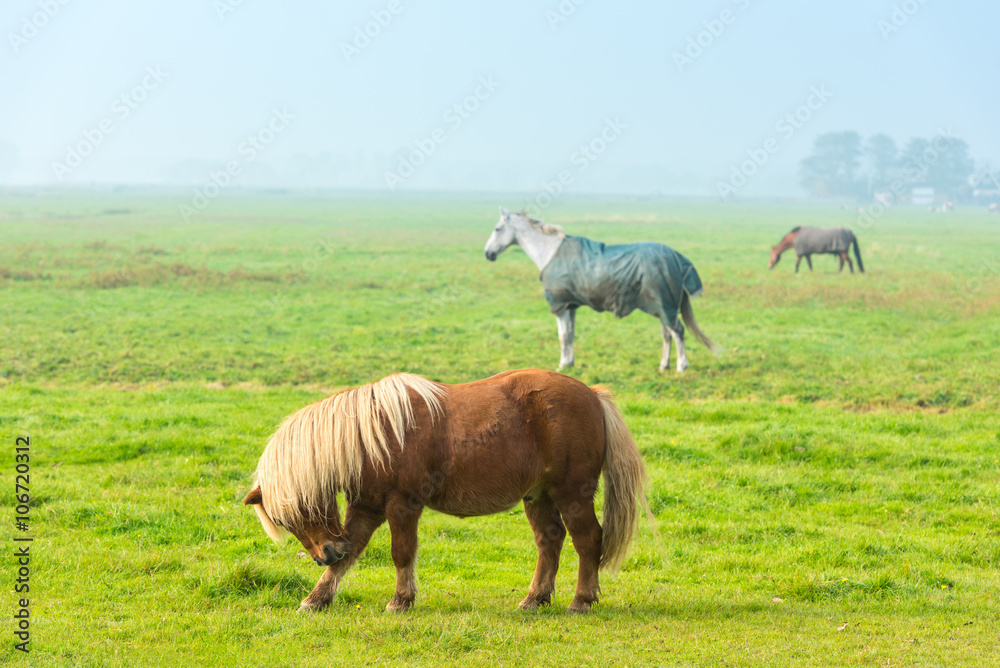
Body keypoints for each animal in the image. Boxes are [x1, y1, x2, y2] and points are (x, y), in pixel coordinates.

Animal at [242, 368, 648, 612]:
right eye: (285, 520)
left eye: (303, 508)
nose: (323, 554)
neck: (372, 435)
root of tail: (592, 395)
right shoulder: (366, 508)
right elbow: (351, 554)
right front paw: (316, 599)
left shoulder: (402, 505)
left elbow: (401, 553)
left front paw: (401, 601)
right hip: (539, 496)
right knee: (550, 542)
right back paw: (534, 599)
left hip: (572, 494)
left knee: (588, 540)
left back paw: (581, 600)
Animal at [484, 207, 720, 370]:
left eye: (497, 229)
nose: (488, 253)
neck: (550, 252)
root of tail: (677, 256)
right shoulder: (571, 305)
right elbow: (570, 335)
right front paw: (569, 363)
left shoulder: (559, 305)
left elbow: (562, 335)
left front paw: (561, 365)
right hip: (663, 307)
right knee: (667, 335)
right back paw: (664, 365)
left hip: (665, 306)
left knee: (677, 331)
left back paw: (682, 366)